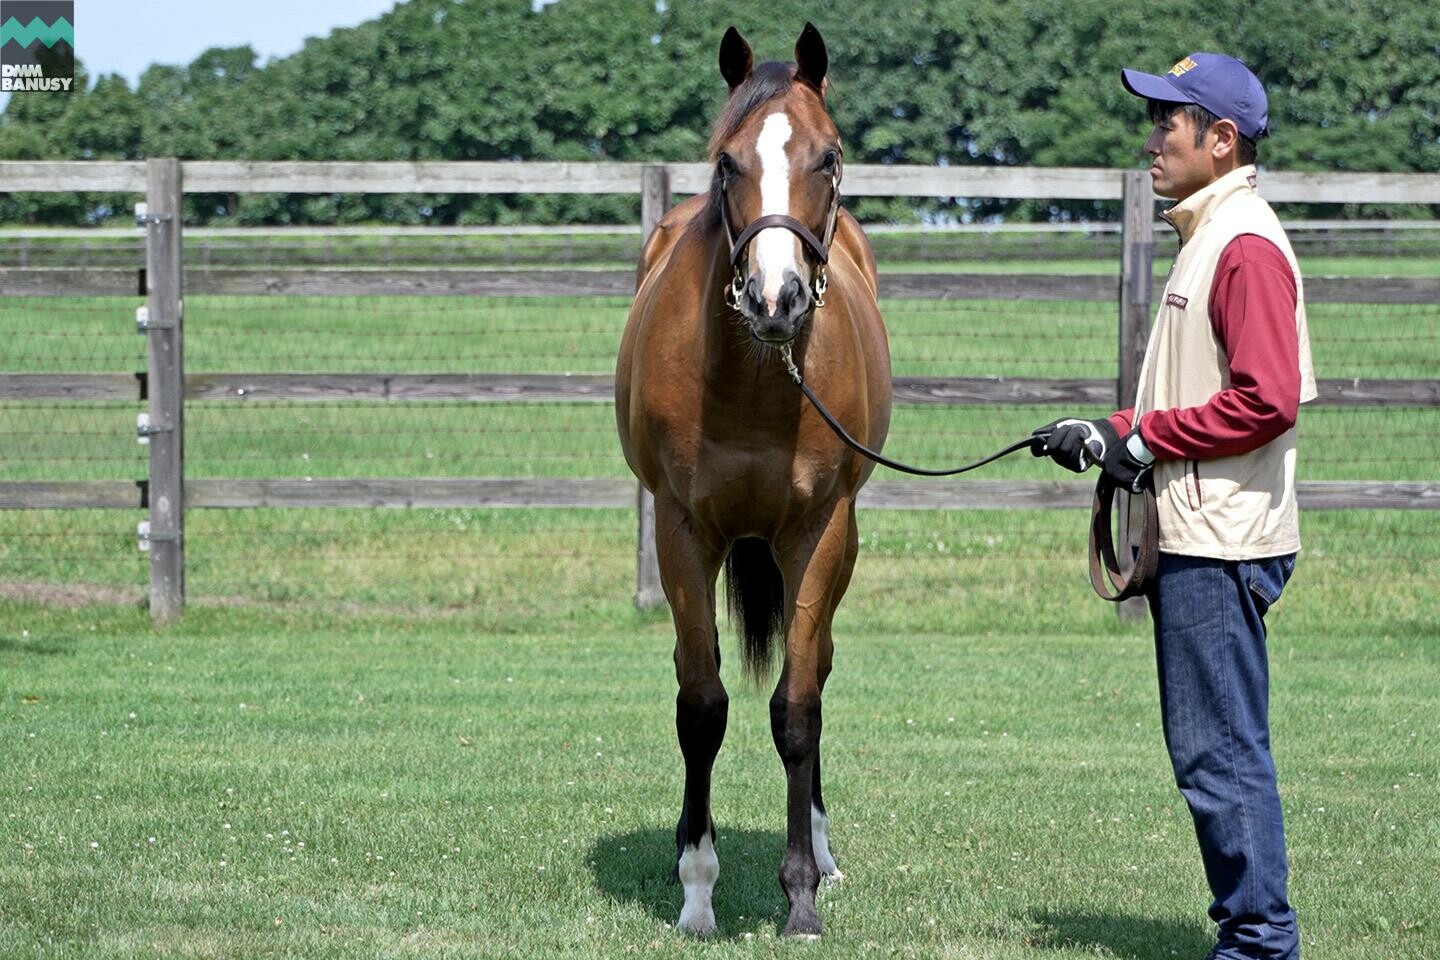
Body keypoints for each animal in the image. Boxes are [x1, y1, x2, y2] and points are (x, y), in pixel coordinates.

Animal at [610, 22, 881, 938]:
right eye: (727, 163)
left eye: (829, 158)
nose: (776, 299)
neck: (759, 384)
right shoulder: (682, 531)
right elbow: (702, 705)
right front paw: (698, 887)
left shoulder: (818, 533)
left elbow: (796, 709)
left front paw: (799, 895)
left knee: (818, 674)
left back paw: (824, 855)